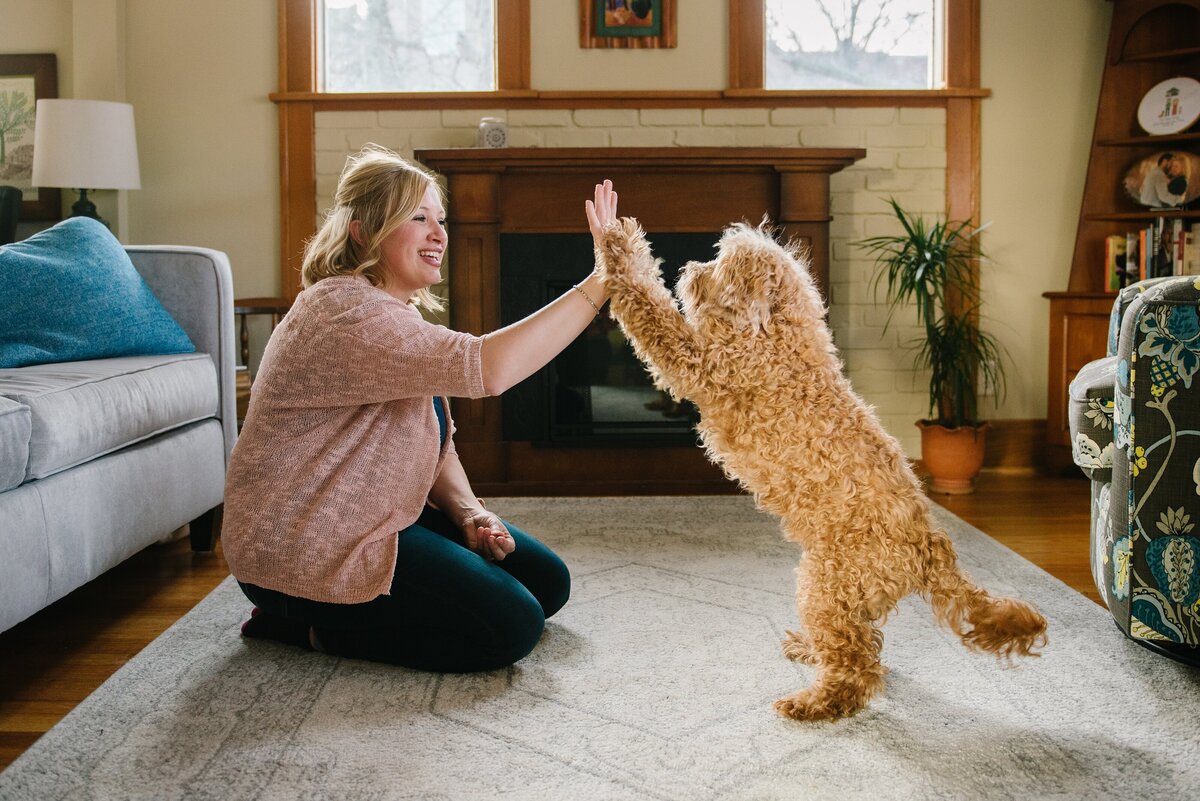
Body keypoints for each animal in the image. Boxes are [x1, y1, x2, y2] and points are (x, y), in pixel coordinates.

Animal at [595, 215, 1046, 724]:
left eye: (723, 263)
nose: (692, 266)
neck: (775, 334)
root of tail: (929, 546)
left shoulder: (699, 362)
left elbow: (649, 309)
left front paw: (618, 246)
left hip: (825, 586)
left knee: (858, 670)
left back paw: (813, 702)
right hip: (848, 596)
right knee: (861, 647)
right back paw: (810, 652)